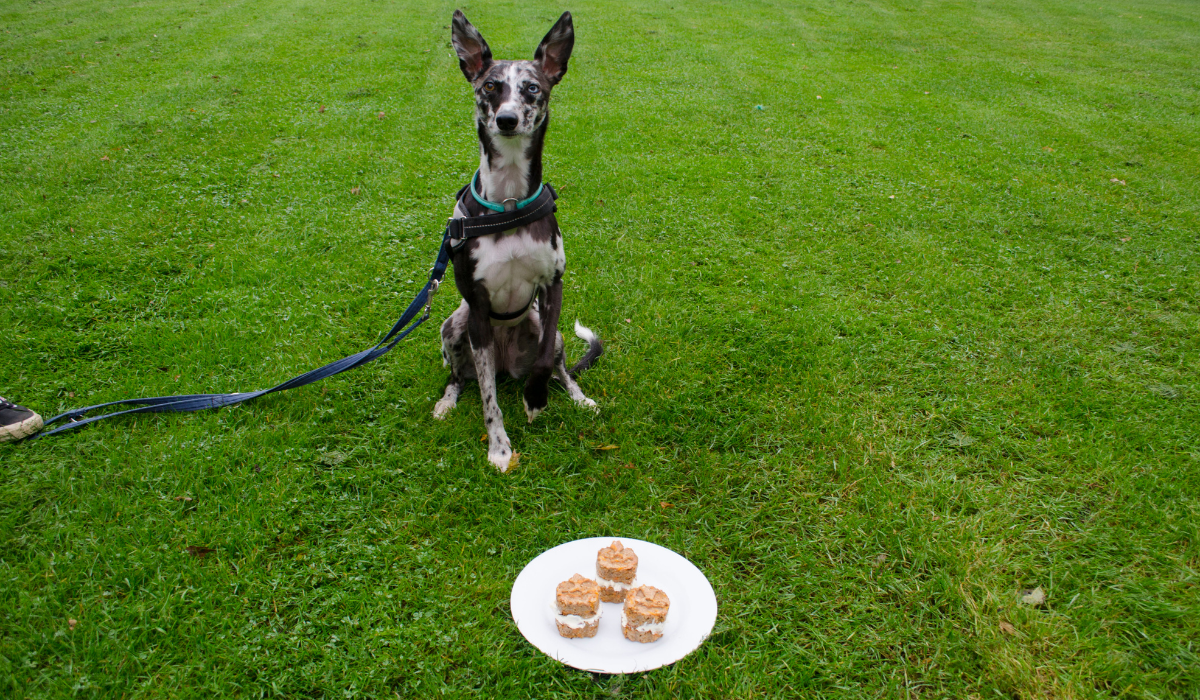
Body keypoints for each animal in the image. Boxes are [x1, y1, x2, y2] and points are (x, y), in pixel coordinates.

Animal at [432, 10, 604, 470]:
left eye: (533, 88)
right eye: (490, 86)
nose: (507, 119)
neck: (508, 200)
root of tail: (509, 363)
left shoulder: (553, 286)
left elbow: (544, 361)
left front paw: (536, 399)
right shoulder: (475, 309)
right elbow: (488, 396)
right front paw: (499, 447)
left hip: (549, 328)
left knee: (561, 367)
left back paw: (578, 397)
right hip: (453, 326)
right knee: (461, 377)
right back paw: (447, 401)